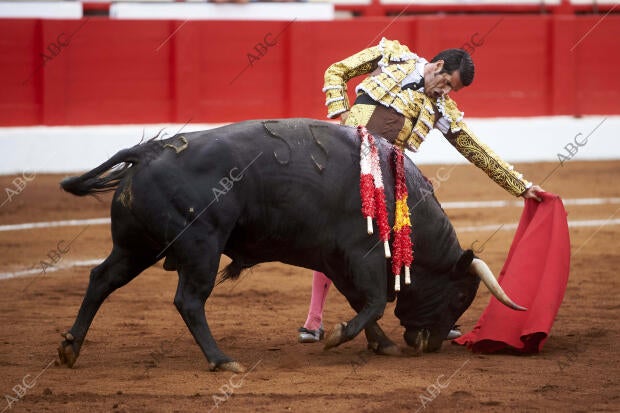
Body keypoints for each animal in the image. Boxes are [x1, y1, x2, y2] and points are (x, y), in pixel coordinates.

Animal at [58, 117, 524, 372]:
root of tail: (148, 152)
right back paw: (221, 359)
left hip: (136, 246)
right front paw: (339, 336)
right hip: (200, 247)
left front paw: (379, 343)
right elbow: (374, 300)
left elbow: (362, 302)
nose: (428, 343)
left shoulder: (338, 260)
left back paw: (70, 348)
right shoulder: (363, 254)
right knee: (188, 301)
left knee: (101, 279)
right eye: (461, 295)